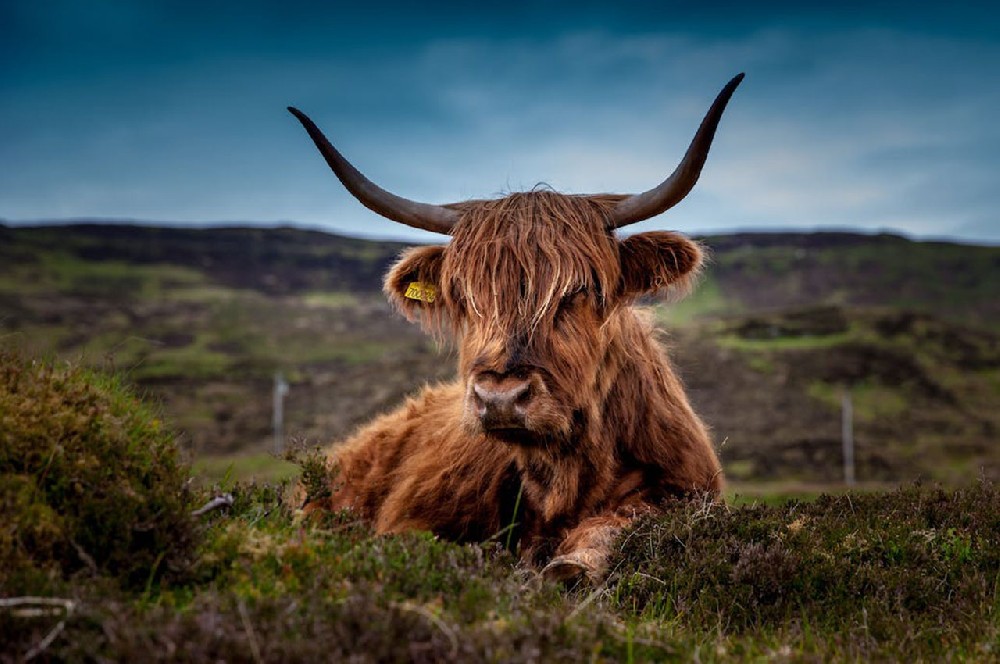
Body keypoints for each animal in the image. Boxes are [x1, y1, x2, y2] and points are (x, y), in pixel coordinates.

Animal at [290, 74, 744, 580]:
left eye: (582, 289)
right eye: (464, 295)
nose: (500, 398)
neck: (563, 479)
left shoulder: (683, 491)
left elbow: (619, 524)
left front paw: (572, 565)